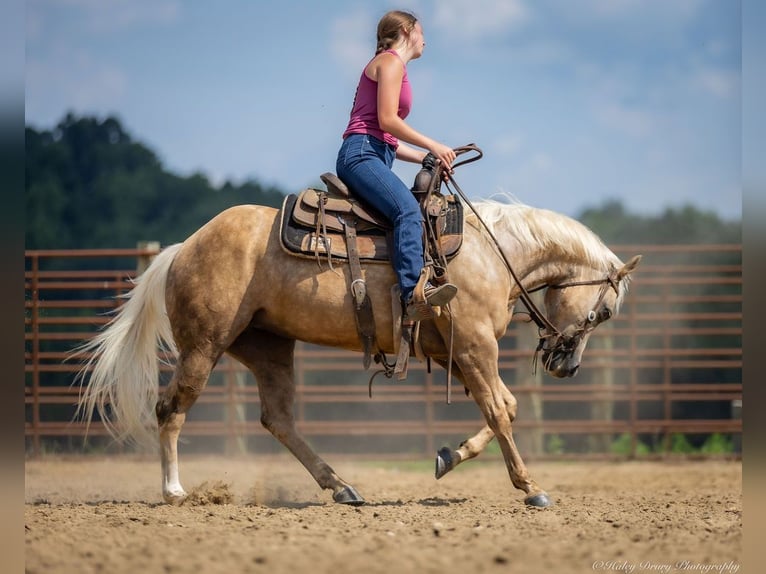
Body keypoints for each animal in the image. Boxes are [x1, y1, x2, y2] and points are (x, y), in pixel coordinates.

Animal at [75, 193, 641, 509]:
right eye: (605, 313)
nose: (566, 365)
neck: (493, 252)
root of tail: (183, 248)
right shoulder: (476, 345)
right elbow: (502, 409)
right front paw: (530, 487)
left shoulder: (457, 352)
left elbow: (505, 408)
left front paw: (449, 456)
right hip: (203, 346)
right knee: (170, 409)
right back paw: (174, 492)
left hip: (268, 348)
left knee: (278, 419)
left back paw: (342, 487)